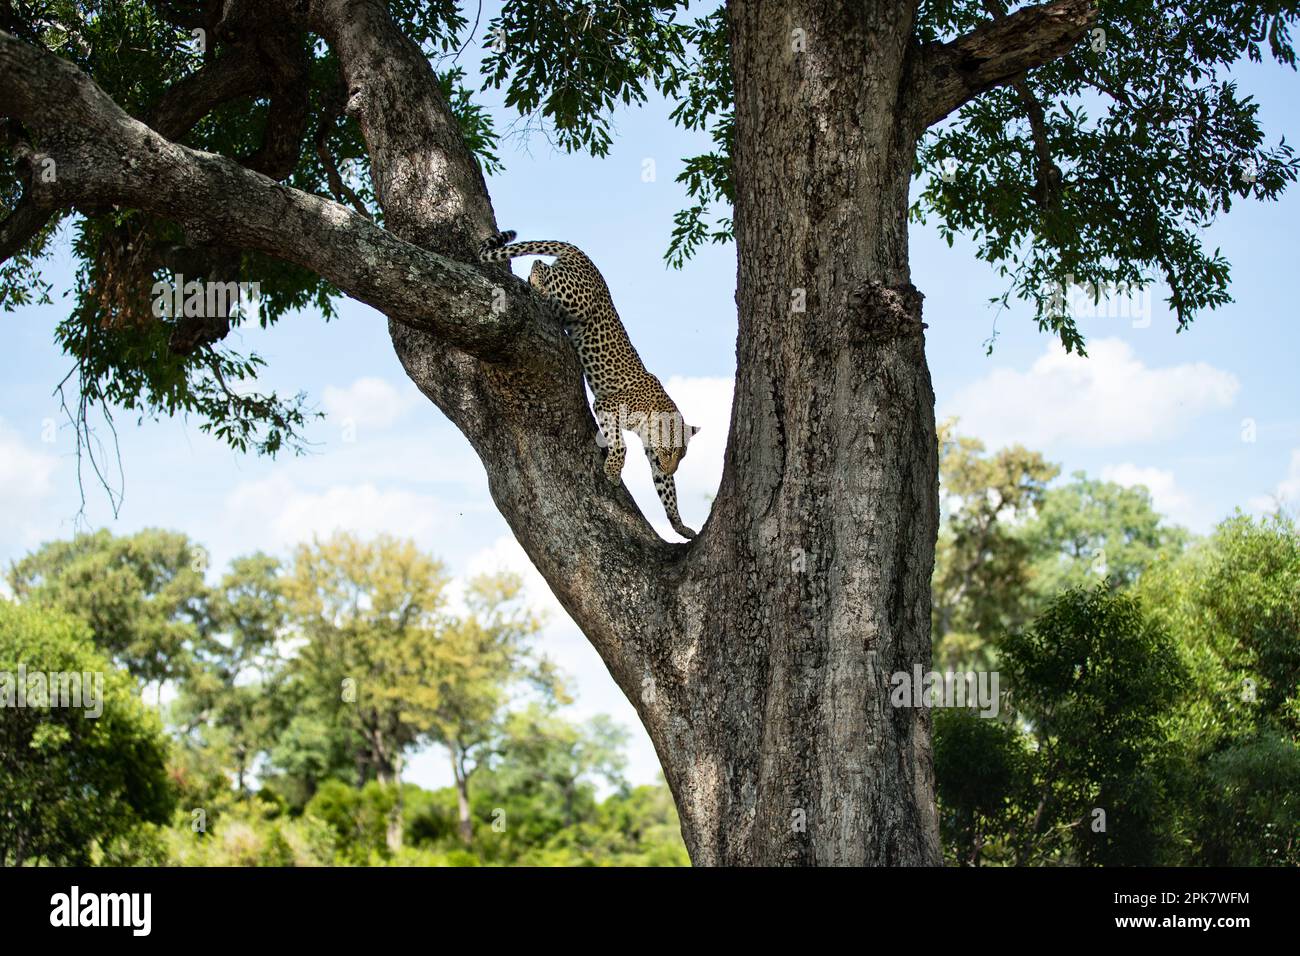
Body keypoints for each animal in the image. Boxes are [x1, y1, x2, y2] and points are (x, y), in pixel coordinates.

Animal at [479, 230, 700, 539]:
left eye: (682, 456)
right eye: (671, 452)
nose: (672, 468)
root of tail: (583, 256)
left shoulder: (650, 451)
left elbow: (666, 491)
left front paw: (681, 526)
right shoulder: (606, 405)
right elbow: (620, 444)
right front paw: (613, 472)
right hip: (577, 298)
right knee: (539, 265)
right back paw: (538, 285)